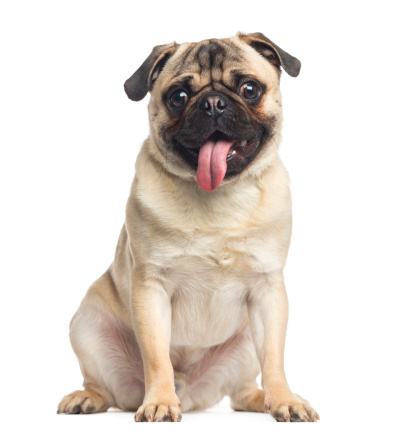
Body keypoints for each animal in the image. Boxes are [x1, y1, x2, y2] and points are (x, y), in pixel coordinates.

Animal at [57, 33, 320, 422]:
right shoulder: (150, 290)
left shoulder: (268, 292)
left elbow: (274, 357)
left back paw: (265, 400)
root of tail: (192, 392)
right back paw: (86, 398)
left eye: (250, 89)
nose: (213, 103)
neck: (219, 196)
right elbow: (156, 357)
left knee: (242, 392)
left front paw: (286, 400)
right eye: (178, 97)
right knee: (104, 387)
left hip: (245, 345)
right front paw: (160, 402)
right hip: (87, 325)